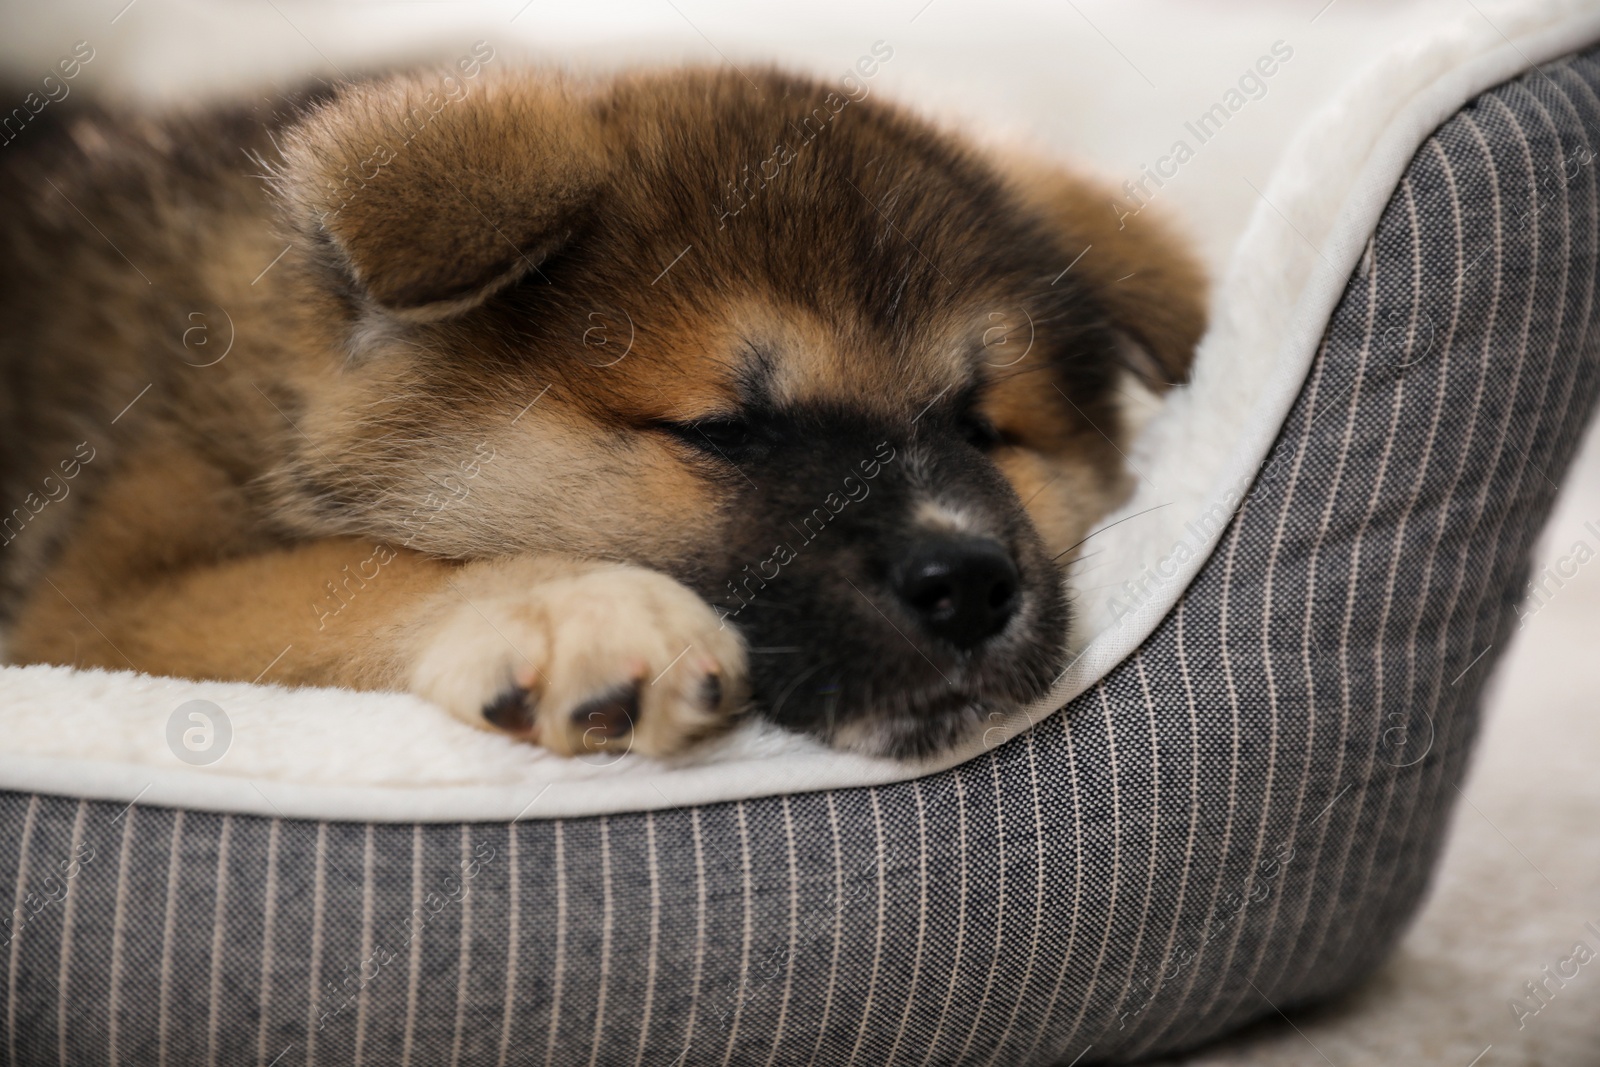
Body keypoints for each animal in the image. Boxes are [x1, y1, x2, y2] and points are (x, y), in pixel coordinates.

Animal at [0, 60, 1203, 758]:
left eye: (979, 426)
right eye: (723, 431)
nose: (968, 584)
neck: (285, 383)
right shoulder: (92, 604)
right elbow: (341, 572)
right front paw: (561, 603)